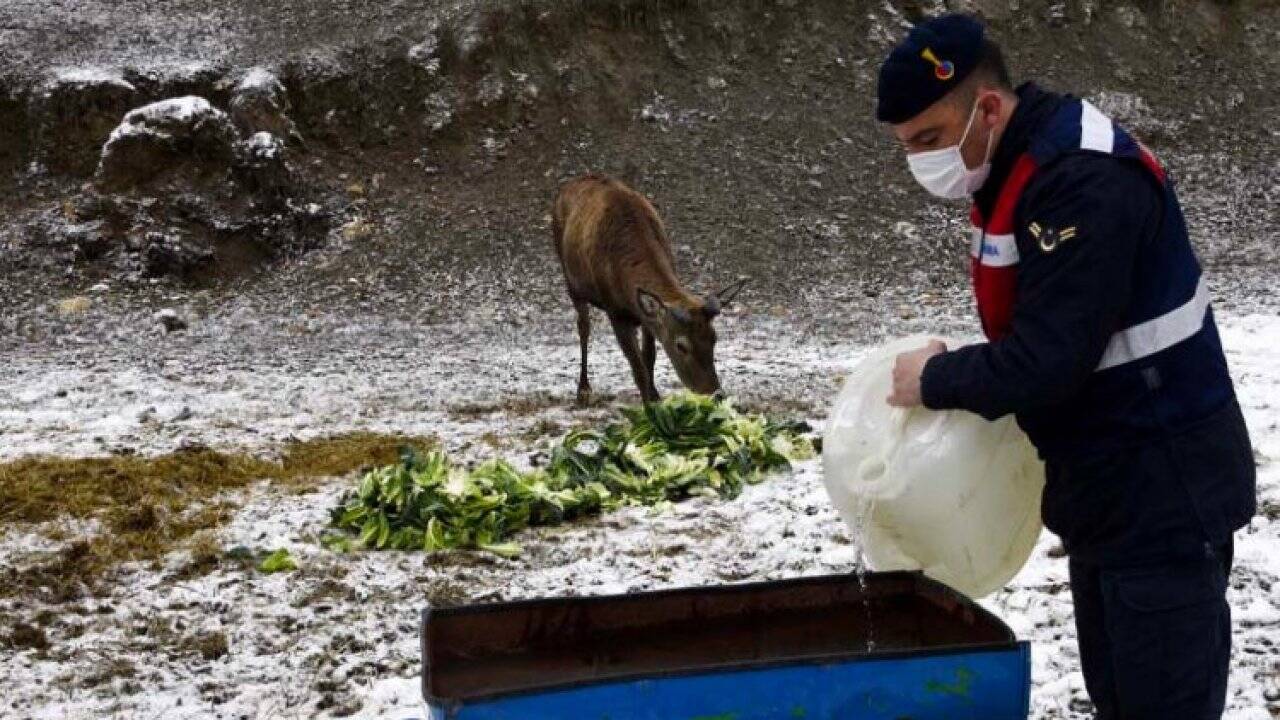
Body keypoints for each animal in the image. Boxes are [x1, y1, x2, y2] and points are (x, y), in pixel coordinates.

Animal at [547, 170, 747, 399]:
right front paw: (649, 402)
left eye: (714, 338)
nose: (715, 394)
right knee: (583, 326)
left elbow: (649, 357)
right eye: (681, 345)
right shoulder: (615, 312)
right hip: (570, 278)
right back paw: (583, 388)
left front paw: (655, 394)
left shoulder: (646, 316)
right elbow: (638, 369)